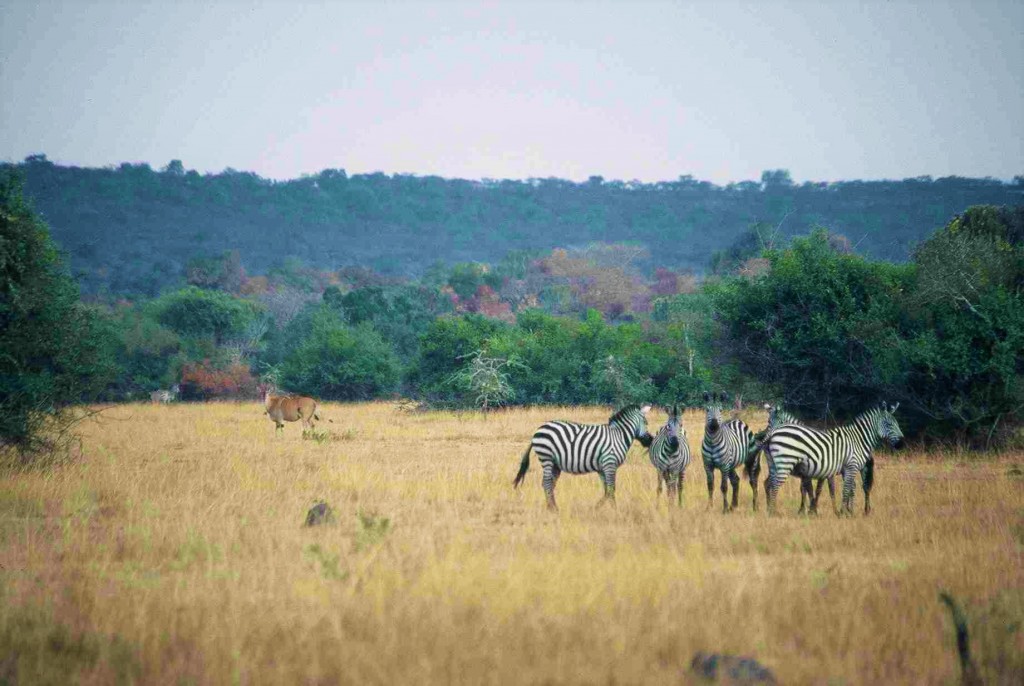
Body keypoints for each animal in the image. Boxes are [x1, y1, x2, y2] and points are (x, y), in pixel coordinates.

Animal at [516, 405, 651, 513]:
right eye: (646, 422)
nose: (650, 440)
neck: (619, 436)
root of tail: (538, 429)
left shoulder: (602, 468)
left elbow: (606, 490)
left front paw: (598, 506)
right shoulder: (610, 463)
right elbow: (611, 488)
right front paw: (614, 509)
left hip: (555, 464)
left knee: (549, 484)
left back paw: (553, 507)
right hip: (546, 457)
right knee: (547, 483)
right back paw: (552, 509)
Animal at [761, 403, 905, 516]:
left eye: (896, 423)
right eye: (888, 424)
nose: (902, 444)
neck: (858, 440)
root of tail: (773, 434)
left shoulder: (837, 470)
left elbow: (840, 489)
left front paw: (843, 512)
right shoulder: (849, 467)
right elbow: (842, 489)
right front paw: (840, 512)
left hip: (774, 464)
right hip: (785, 462)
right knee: (774, 484)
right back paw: (773, 512)